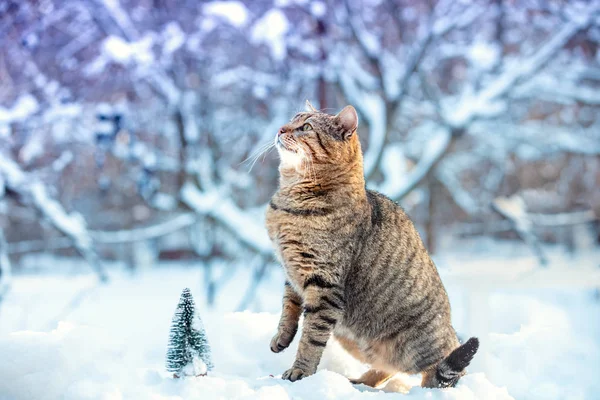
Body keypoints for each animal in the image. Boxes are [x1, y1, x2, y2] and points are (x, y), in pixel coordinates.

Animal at [266, 101, 478, 390]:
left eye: (306, 127)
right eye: (292, 120)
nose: (280, 128)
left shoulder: (324, 286)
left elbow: (311, 338)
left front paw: (300, 371)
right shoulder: (293, 274)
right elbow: (288, 309)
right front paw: (281, 338)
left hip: (421, 347)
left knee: (444, 371)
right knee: (388, 368)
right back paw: (360, 381)